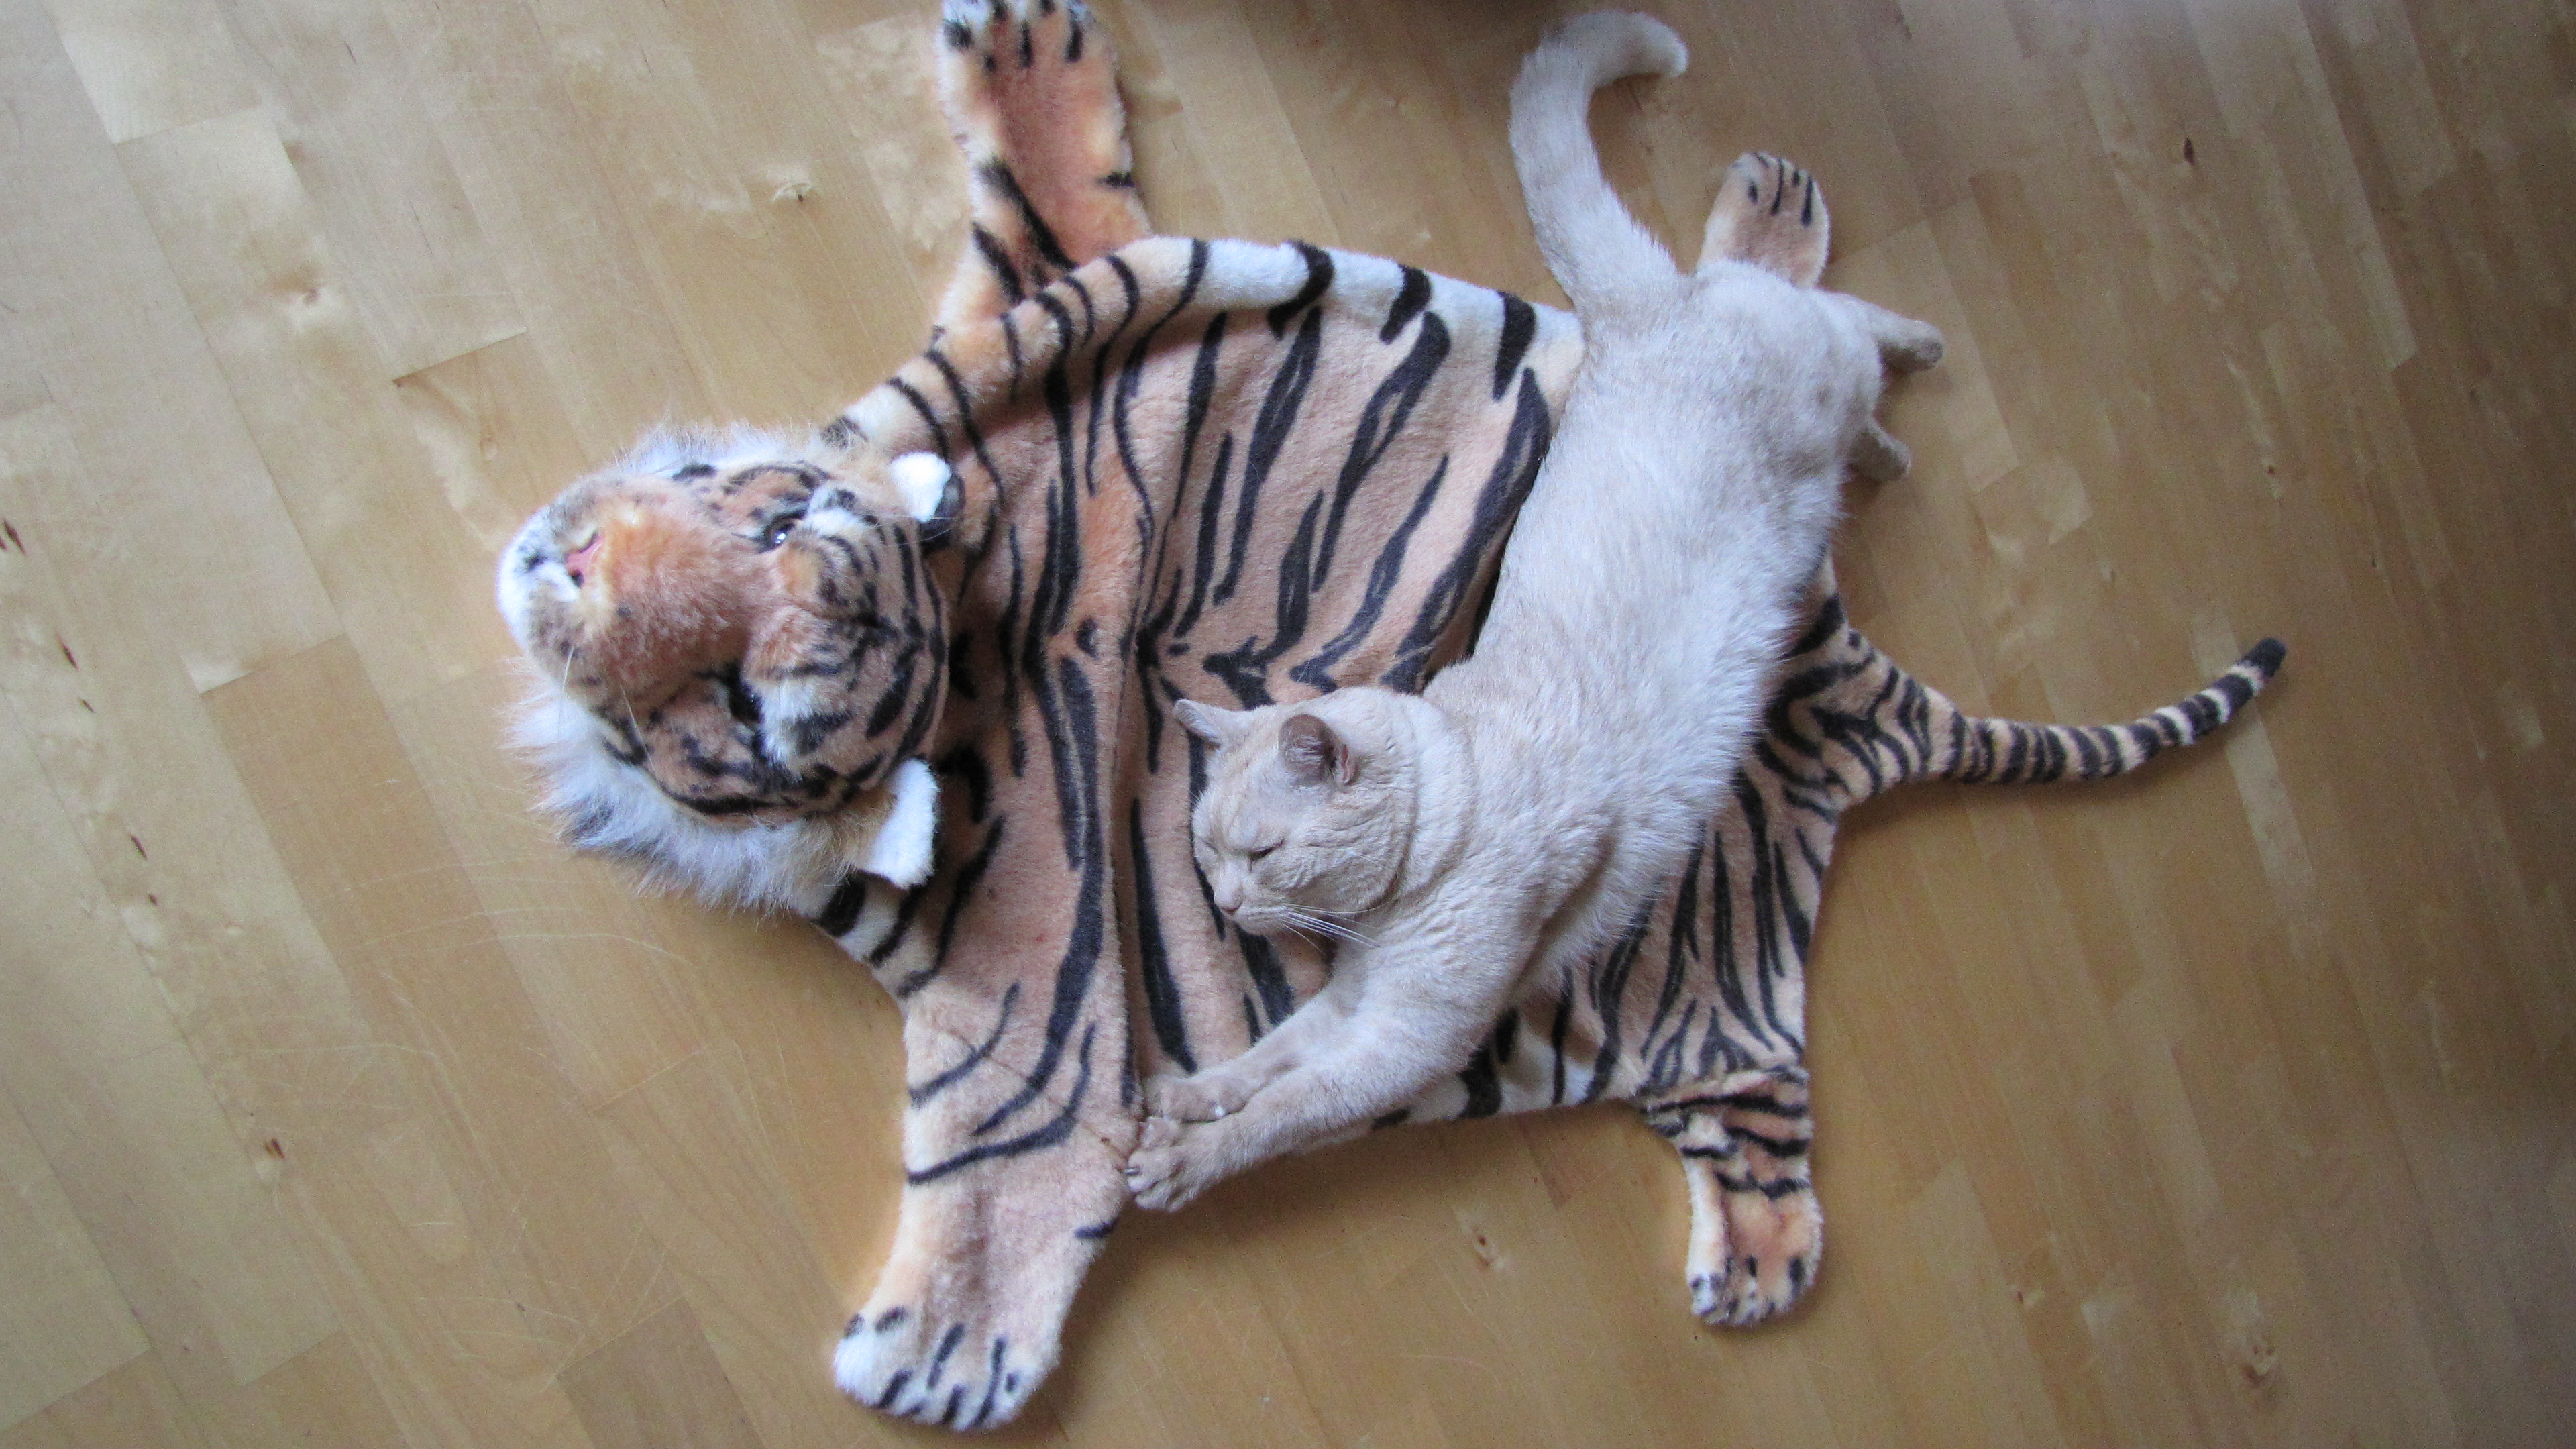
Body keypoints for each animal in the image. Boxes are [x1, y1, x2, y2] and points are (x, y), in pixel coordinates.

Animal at [1124, 11, 1946, 1210]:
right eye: (1204, 855)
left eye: (1263, 855)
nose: (1227, 908)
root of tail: (1645, 316)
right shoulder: (1353, 1006)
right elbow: (1266, 1065)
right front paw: (1189, 1098)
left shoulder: (1405, 1042)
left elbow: (1284, 1115)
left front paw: (1183, 1162)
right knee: (1796, 303)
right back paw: (1888, 436)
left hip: (1821, 367)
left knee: (1846, 318)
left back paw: (1914, 383)